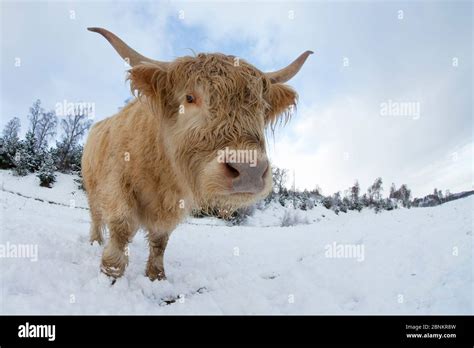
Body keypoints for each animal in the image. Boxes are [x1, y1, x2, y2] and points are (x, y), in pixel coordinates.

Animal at [82, 27, 312, 282]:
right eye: (190, 98)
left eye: (261, 107)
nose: (248, 170)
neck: (163, 172)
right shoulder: (117, 186)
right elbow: (121, 229)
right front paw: (110, 272)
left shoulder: (174, 205)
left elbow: (160, 239)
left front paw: (156, 276)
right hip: (92, 188)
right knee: (96, 216)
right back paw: (95, 242)